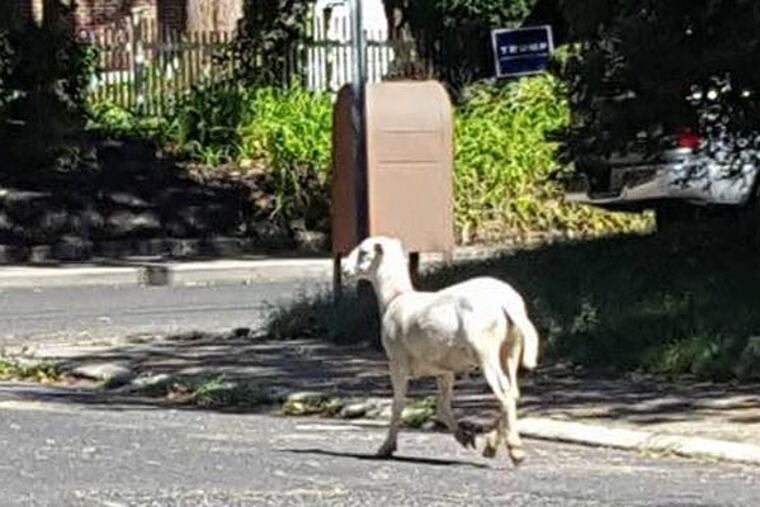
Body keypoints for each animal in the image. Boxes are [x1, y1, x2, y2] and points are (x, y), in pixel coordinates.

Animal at [342, 236, 540, 464]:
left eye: (364, 252)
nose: (345, 270)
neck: (396, 298)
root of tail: (506, 301)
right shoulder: (444, 370)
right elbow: (442, 407)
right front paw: (464, 437)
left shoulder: (397, 363)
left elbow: (398, 404)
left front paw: (386, 447)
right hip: (510, 350)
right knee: (513, 392)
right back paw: (491, 445)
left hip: (485, 352)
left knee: (505, 393)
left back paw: (515, 450)